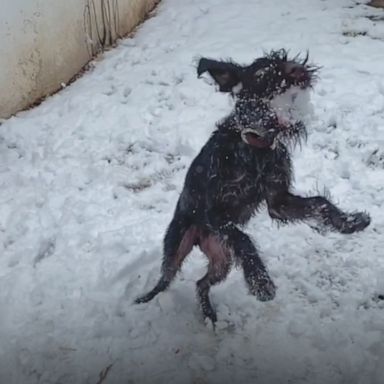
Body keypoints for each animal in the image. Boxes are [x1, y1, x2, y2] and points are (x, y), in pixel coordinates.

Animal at [136, 48, 372, 324]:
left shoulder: (279, 202)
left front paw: (351, 222)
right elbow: (243, 239)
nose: (297, 71)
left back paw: (210, 316)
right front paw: (261, 283)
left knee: (201, 283)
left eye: (284, 60)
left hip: (221, 259)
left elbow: (320, 203)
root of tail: (200, 239)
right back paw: (144, 301)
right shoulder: (215, 214)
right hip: (178, 247)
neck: (255, 149)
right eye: (262, 74)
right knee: (164, 280)